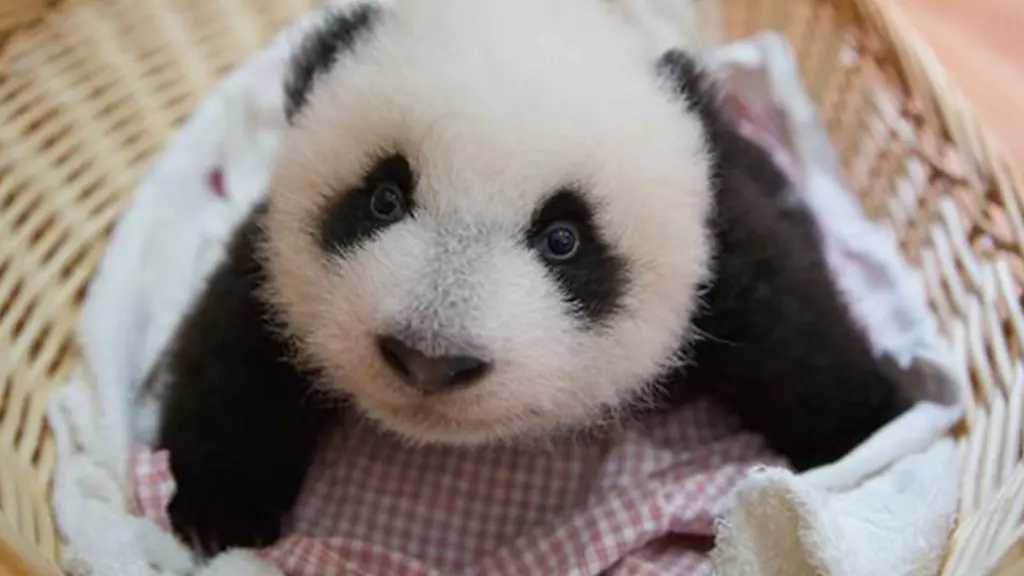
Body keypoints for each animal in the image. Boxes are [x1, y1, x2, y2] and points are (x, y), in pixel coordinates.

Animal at [153, 0, 911, 555]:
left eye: (563, 240)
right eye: (384, 199)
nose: (429, 361)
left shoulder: (719, 241)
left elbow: (786, 320)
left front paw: (869, 431)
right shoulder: (275, 261)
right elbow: (243, 341)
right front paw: (221, 504)